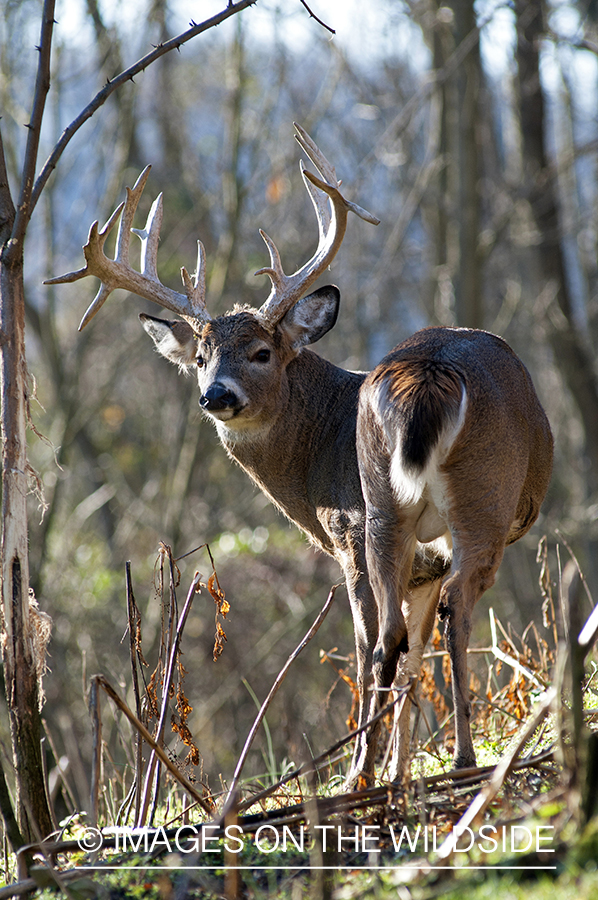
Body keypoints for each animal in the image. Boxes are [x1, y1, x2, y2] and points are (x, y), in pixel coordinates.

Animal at [48, 123, 556, 784]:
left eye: (261, 352)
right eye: (201, 356)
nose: (216, 395)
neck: (321, 442)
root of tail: (430, 372)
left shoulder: (370, 539)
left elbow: (402, 651)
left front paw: (395, 766)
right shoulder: (403, 551)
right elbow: (410, 651)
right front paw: (399, 768)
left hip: (402, 513)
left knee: (396, 634)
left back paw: (399, 764)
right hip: (438, 506)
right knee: (418, 625)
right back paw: (426, 762)